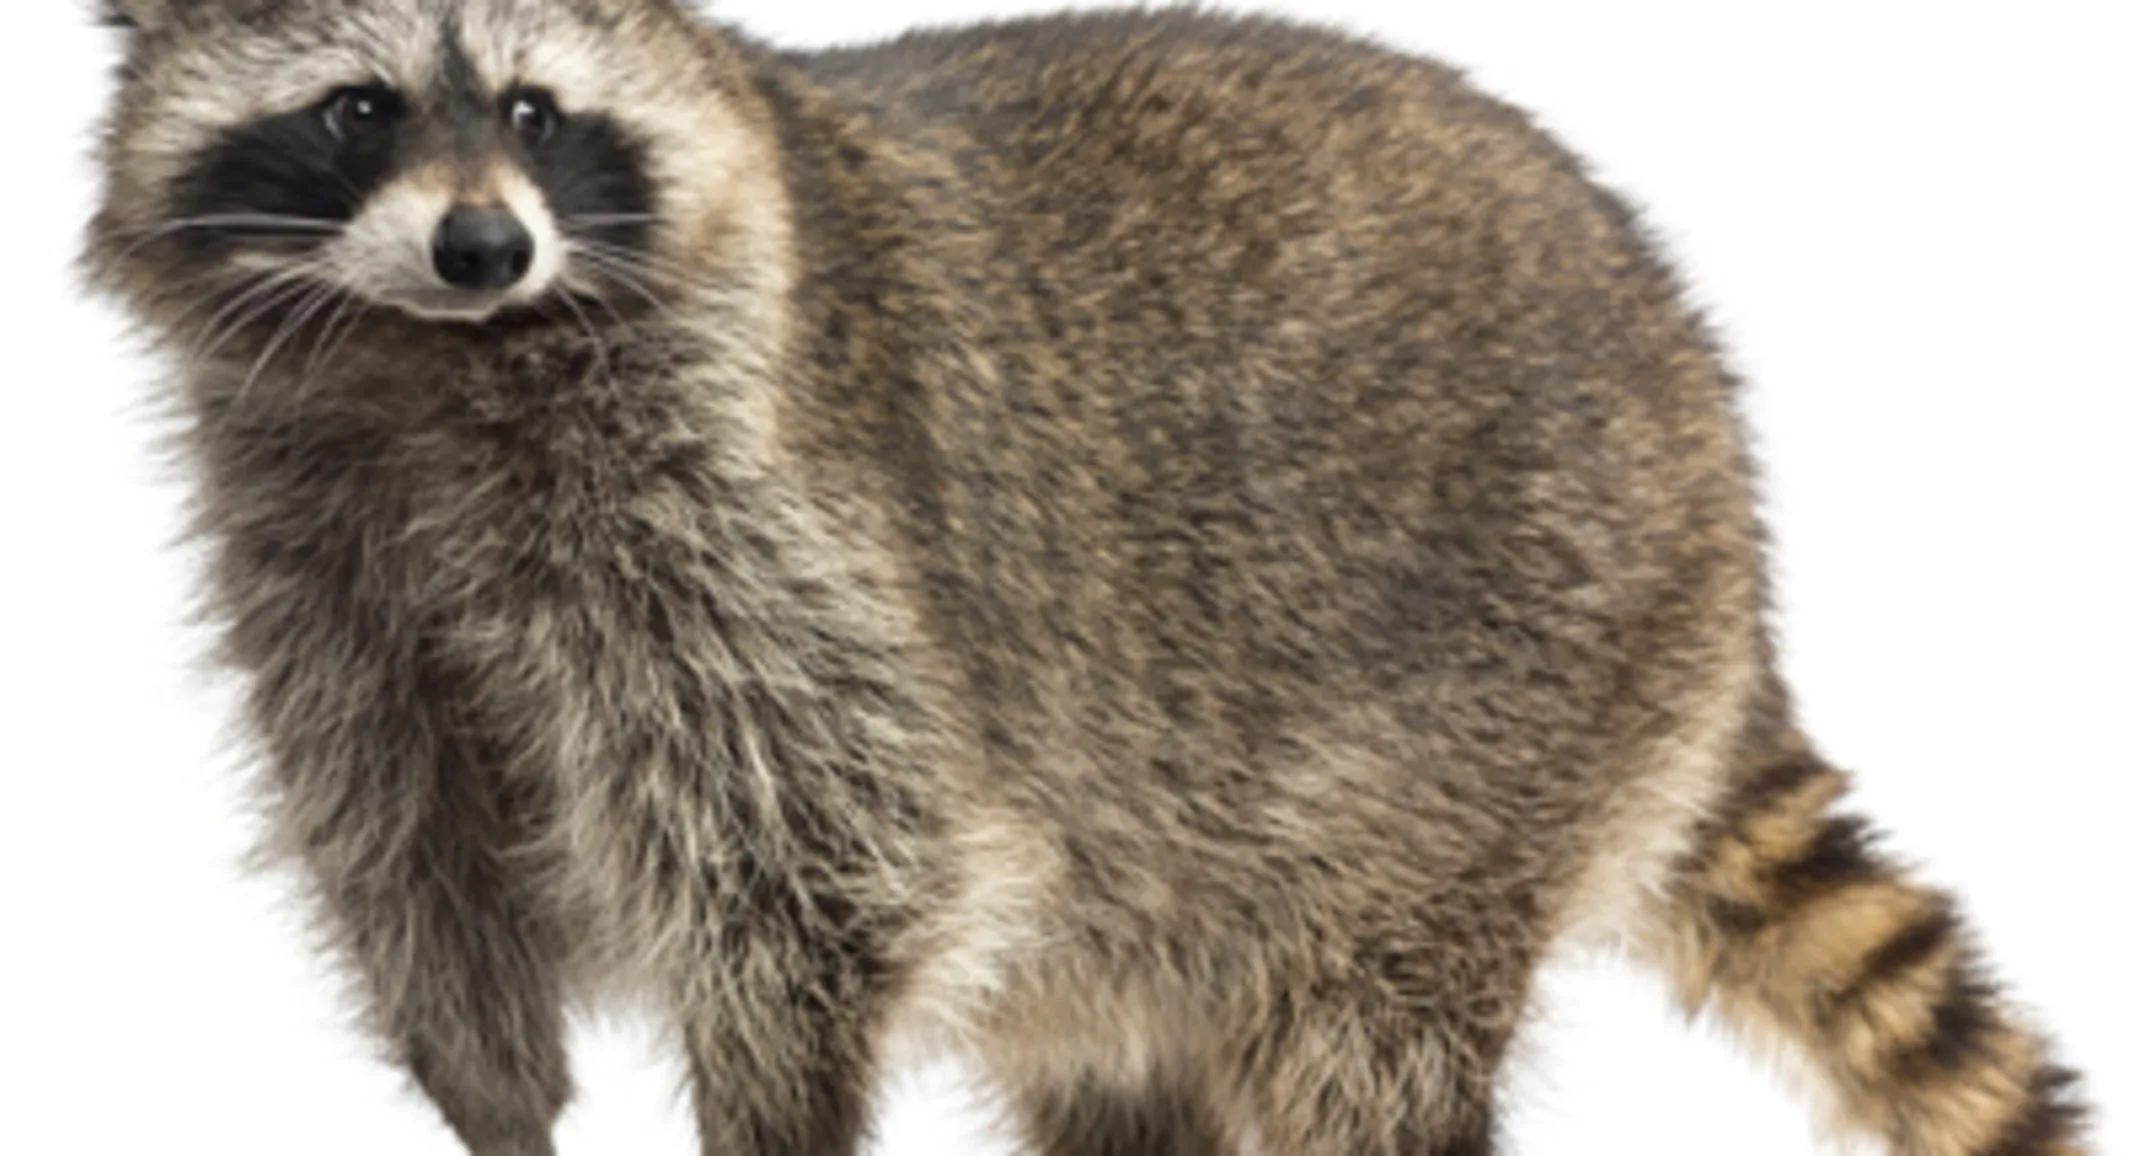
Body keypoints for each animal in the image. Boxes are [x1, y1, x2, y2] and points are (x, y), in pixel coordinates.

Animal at [83, 1, 2090, 1154]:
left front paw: (776, 1106)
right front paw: (497, 1105)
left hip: (1519, 687)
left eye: (533, 107)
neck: (427, 364)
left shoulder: (785, 512)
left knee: (1363, 1030)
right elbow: (406, 851)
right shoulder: (318, 548)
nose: (483, 245)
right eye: (357, 109)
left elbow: (834, 857)